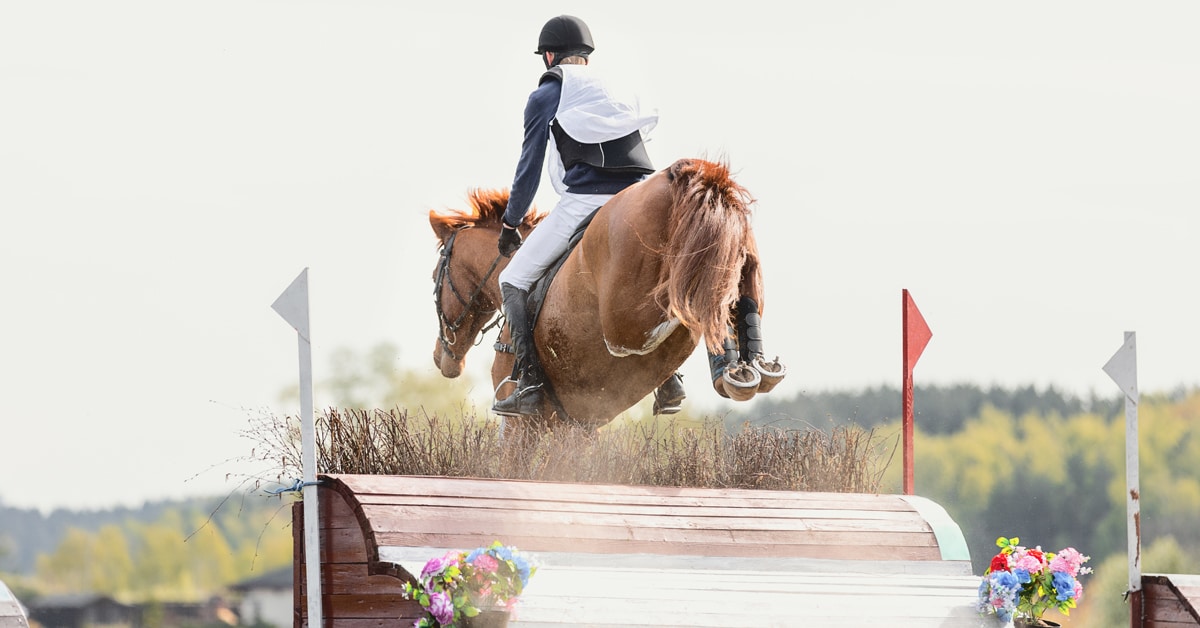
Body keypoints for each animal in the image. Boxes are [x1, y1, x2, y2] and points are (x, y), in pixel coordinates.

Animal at [429, 158, 785, 427]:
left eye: (436, 277)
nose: (440, 359)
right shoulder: (581, 425)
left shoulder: (524, 425)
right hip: (738, 254)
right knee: (735, 296)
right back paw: (747, 368)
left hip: (624, 322)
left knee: (684, 309)